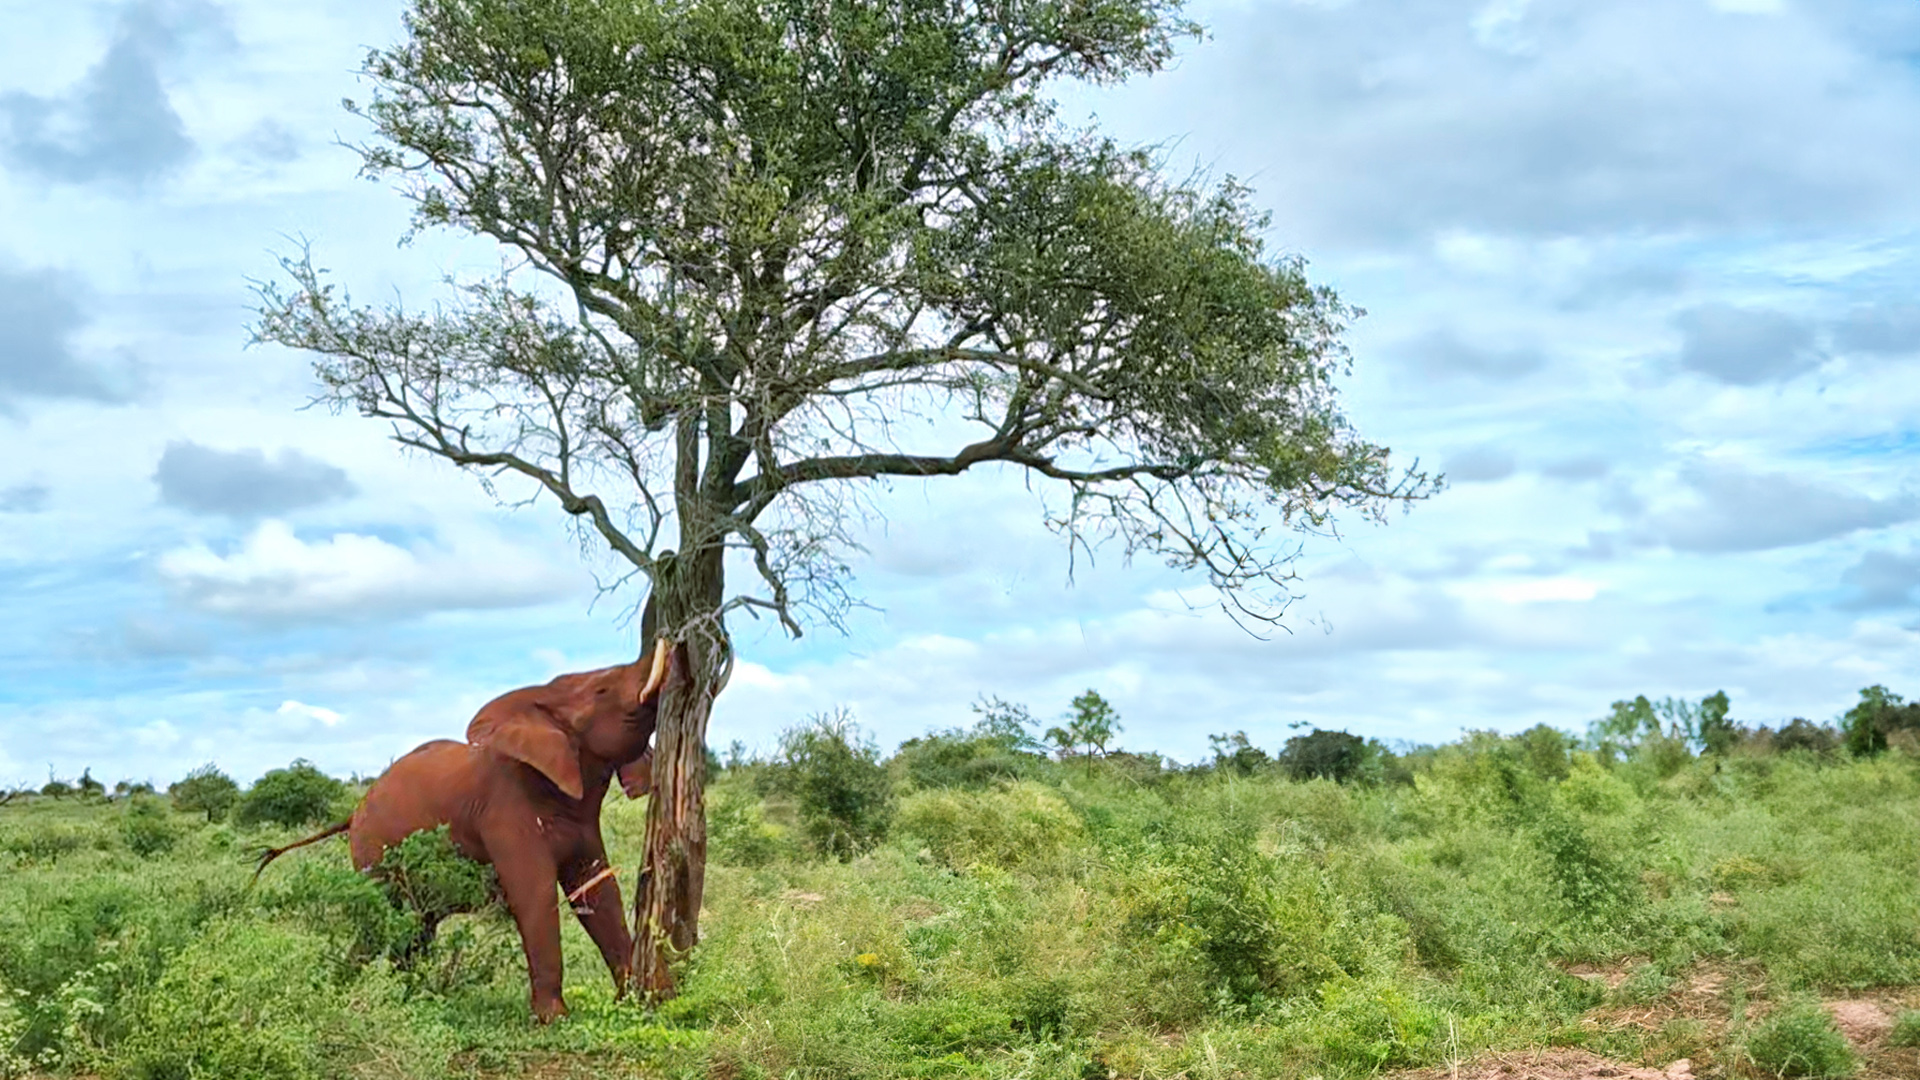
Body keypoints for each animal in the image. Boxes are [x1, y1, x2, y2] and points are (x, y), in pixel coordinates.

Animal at [256, 635, 674, 1022]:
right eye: (602, 689)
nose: (665, 640)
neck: (538, 699)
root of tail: (353, 814)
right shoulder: (504, 809)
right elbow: (534, 893)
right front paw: (554, 1019)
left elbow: (600, 892)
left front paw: (638, 1002)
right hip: (373, 849)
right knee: (384, 919)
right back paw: (350, 992)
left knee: (412, 925)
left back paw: (403, 995)